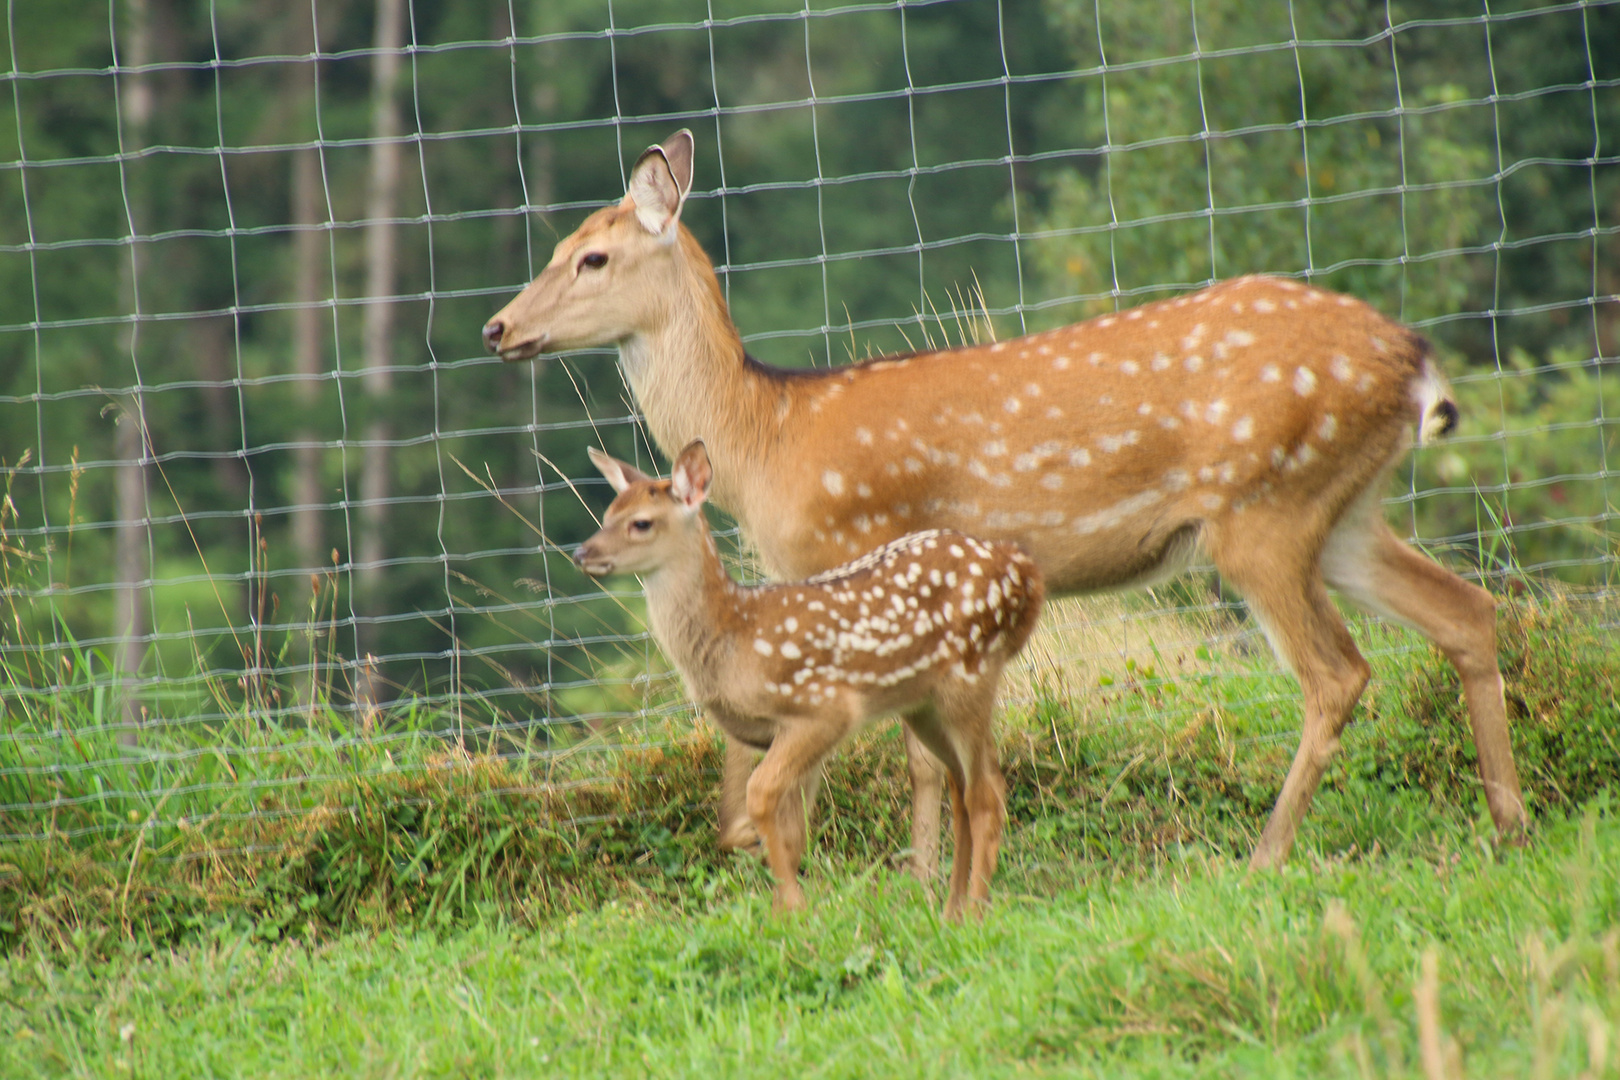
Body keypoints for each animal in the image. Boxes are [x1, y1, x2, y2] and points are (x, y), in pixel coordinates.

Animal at [486, 128, 1522, 867]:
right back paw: (1507, 822)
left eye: (591, 258)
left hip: (1262, 508)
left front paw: (909, 874)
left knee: (1336, 673)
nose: (497, 326)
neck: (767, 436)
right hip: (1340, 512)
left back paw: (1267, 854)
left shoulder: (859, 557)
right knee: (1466, 611)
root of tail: (1411, 358)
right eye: (555, 244)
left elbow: (905, 750)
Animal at [576, 440, 1043, 919]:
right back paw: (951, 912)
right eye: (607, 513)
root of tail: (1024, 570)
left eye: (641, 522)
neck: (734, 638)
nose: (582, 554)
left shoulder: (824, 709)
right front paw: (784, 911)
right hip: (924, 703)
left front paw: (794, 908)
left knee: (987, 792)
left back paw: (975, 911)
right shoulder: (772, 734)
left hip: (972, 673)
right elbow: (788, 828)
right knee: (962, 787)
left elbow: (761, 797)